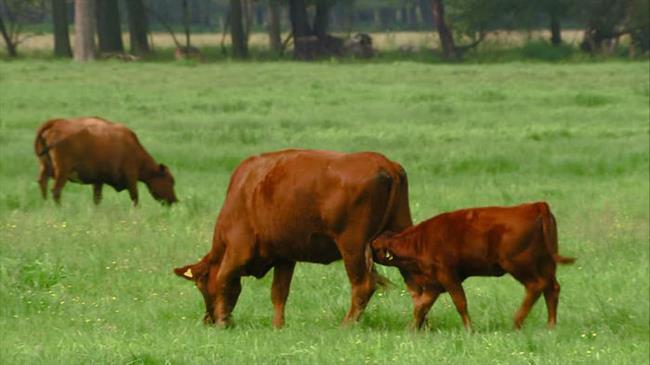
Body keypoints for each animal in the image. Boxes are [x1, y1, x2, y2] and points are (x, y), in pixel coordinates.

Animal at [33, 116, 176, 205]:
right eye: (170, 181)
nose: (174, 200)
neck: (133, 147)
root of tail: (56, 123)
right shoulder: (131, 176)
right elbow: (135, 197)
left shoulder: (98, 181)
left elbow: (97, 199)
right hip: (63, 171)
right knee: (56, 190)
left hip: (45, 166)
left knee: (42, 183)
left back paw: (45, 204)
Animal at [172, 148, 410, 328]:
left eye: (201, 285)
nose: (207, 320)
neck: (242, 193)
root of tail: (387, 164)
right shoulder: (284, 257)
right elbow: (279, 292)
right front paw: (278, 326)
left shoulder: (238, 250)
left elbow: (223, 278)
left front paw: (224, 322)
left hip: (353, 247)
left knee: (363, 285)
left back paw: (347, 324)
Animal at [370, 202, 572, 330]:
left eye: (374, 246)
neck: (420, 241)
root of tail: (534, 206)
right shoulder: (435, 282)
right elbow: (422, 306)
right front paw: (411, 330)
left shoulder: (447, 275)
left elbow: (460, 302)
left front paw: (469, 329)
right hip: (546, 263)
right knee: (552, 288)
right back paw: (551, 325)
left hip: (518, 265)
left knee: (536, 286)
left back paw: (516, 323)